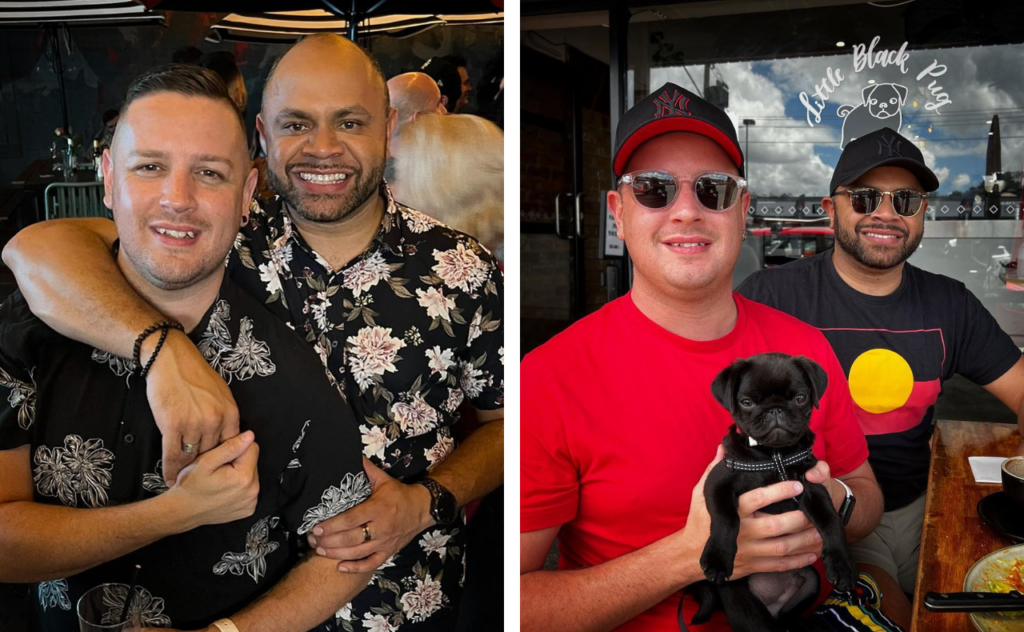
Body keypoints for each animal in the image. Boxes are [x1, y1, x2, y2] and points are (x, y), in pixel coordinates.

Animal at [684, 352, 860, 626]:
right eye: (746, 402)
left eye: (800, 398)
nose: (775, 409)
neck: (772, 454)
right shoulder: (717, 482)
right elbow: (726, 517)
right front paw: (717, 558)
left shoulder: (812, 487)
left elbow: (831, 520)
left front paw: (842, 564)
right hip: (738, 599)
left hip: (810, 583)